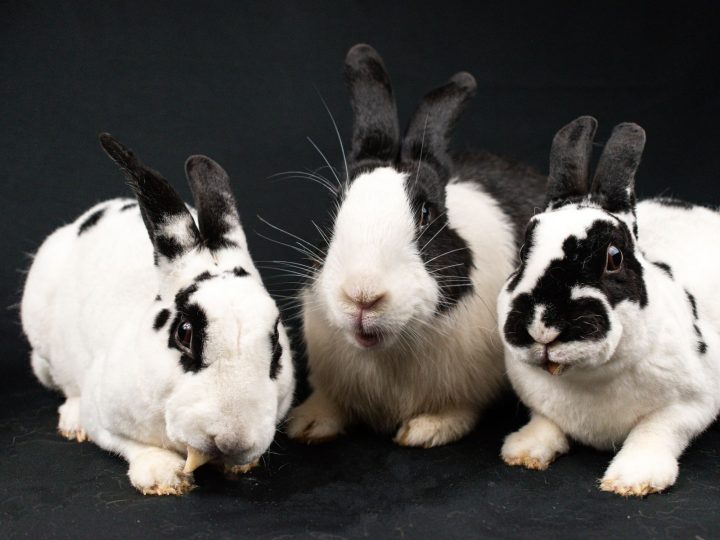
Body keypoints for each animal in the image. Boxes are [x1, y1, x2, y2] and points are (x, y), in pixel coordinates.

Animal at [20, 134, 295, 495]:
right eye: (184, 333)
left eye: (276, 341)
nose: (232, 439)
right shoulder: (103, 415)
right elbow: (127, 442)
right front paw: (163, 477)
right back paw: (72, 421)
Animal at [287, 44, 546, 448]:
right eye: (335, 209)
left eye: (427, 214)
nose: (362, 297)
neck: (389, 350)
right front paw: (308, 423)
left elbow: (457, 410)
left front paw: (425, 430)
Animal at [498, 116, 720, 496]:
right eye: (525, 252)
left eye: (614, 258)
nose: (542, 326)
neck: (588, 378)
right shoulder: (538, 402)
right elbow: (545, 422)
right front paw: (523, 451)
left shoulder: (691, 403)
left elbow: (655, 431)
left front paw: (633, 479)